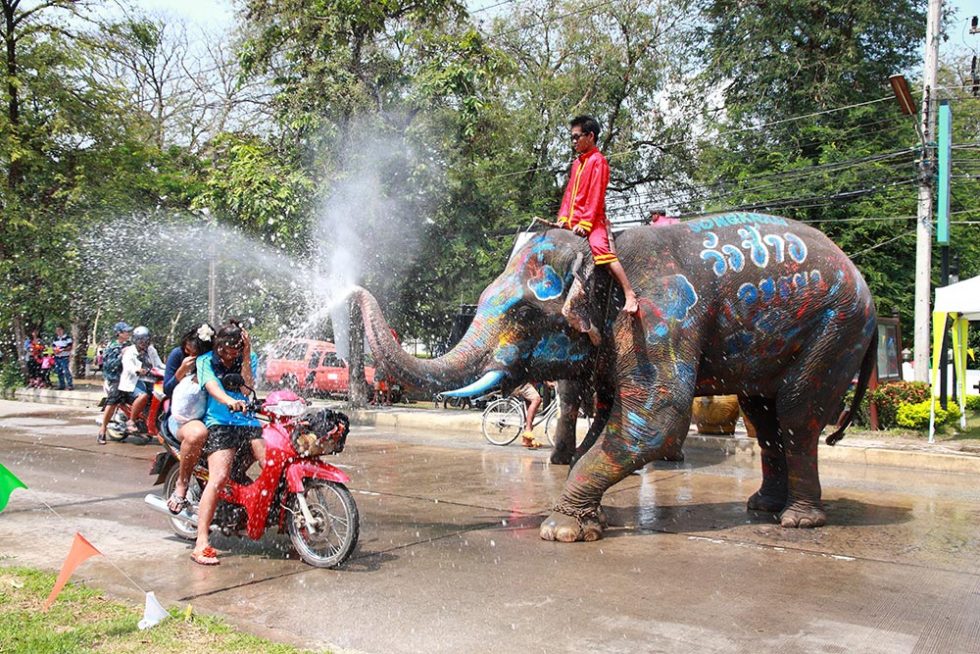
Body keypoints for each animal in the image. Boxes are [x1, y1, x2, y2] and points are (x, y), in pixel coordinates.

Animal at [354, 214, 880, 544]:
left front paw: (560, 531)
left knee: (795, 414)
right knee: (763, 414)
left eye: (524, 313)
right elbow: (609, 419)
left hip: (835, 330)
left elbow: (656, 420)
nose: (353, 287)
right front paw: (590, 518)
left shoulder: (659, 321)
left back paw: (797, 521)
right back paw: (762, 507)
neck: (604, 259)